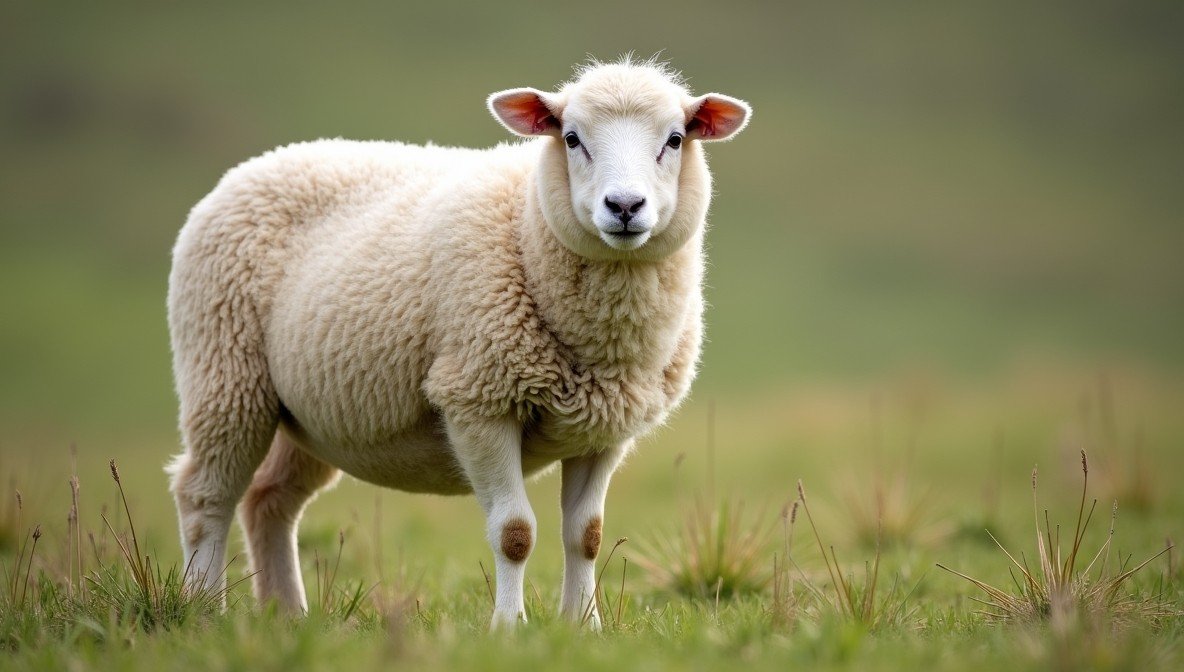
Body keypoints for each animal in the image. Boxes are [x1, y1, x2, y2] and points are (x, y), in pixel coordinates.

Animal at [166, 58, 750, 629]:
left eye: (675, 139)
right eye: (571, 138)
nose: (624, 206)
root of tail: (255, 165)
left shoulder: (604, 429)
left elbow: (586, 536)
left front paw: (583, 628)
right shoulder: (477, 401)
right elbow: (515, 533)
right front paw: (509, 629)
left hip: (311, 413)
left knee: (269, 500)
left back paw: (287, 615)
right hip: (225, 373)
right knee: (205, 495)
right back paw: (204, 610)